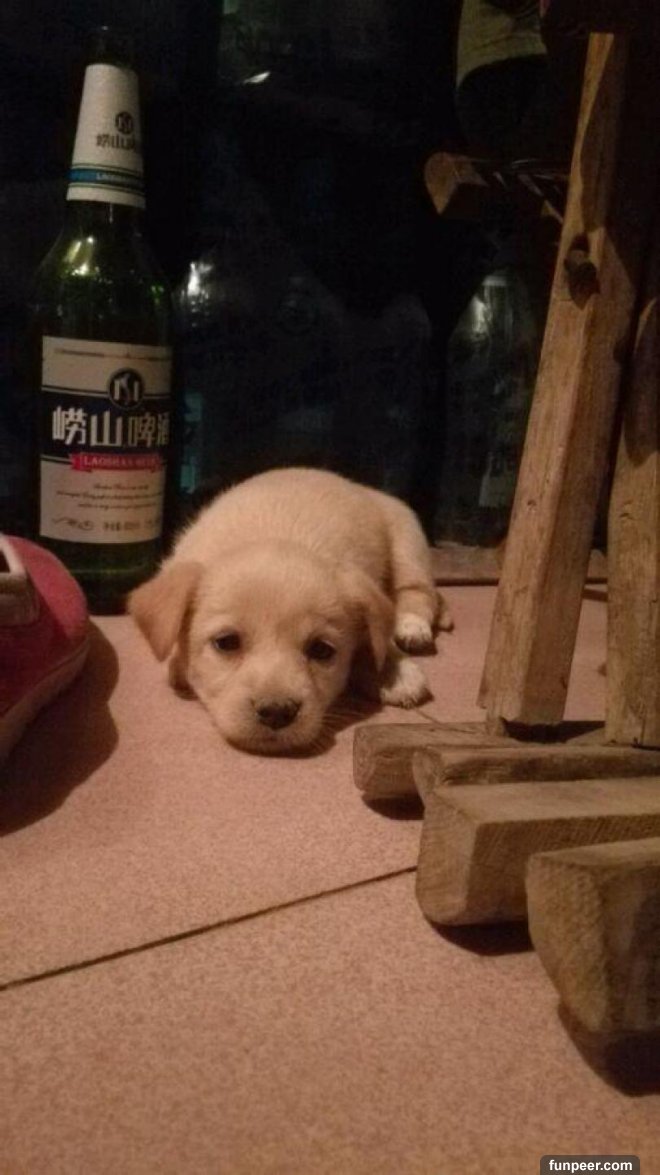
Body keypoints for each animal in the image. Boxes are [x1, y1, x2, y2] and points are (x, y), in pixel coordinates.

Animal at [129, 467, 452, 754]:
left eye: (322, 650)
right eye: (226, 643)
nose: (276, 712)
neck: (273, 534)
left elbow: (375, 639)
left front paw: (392, 671)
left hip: (407, 540)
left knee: (419, 591)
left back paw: (411, 626)